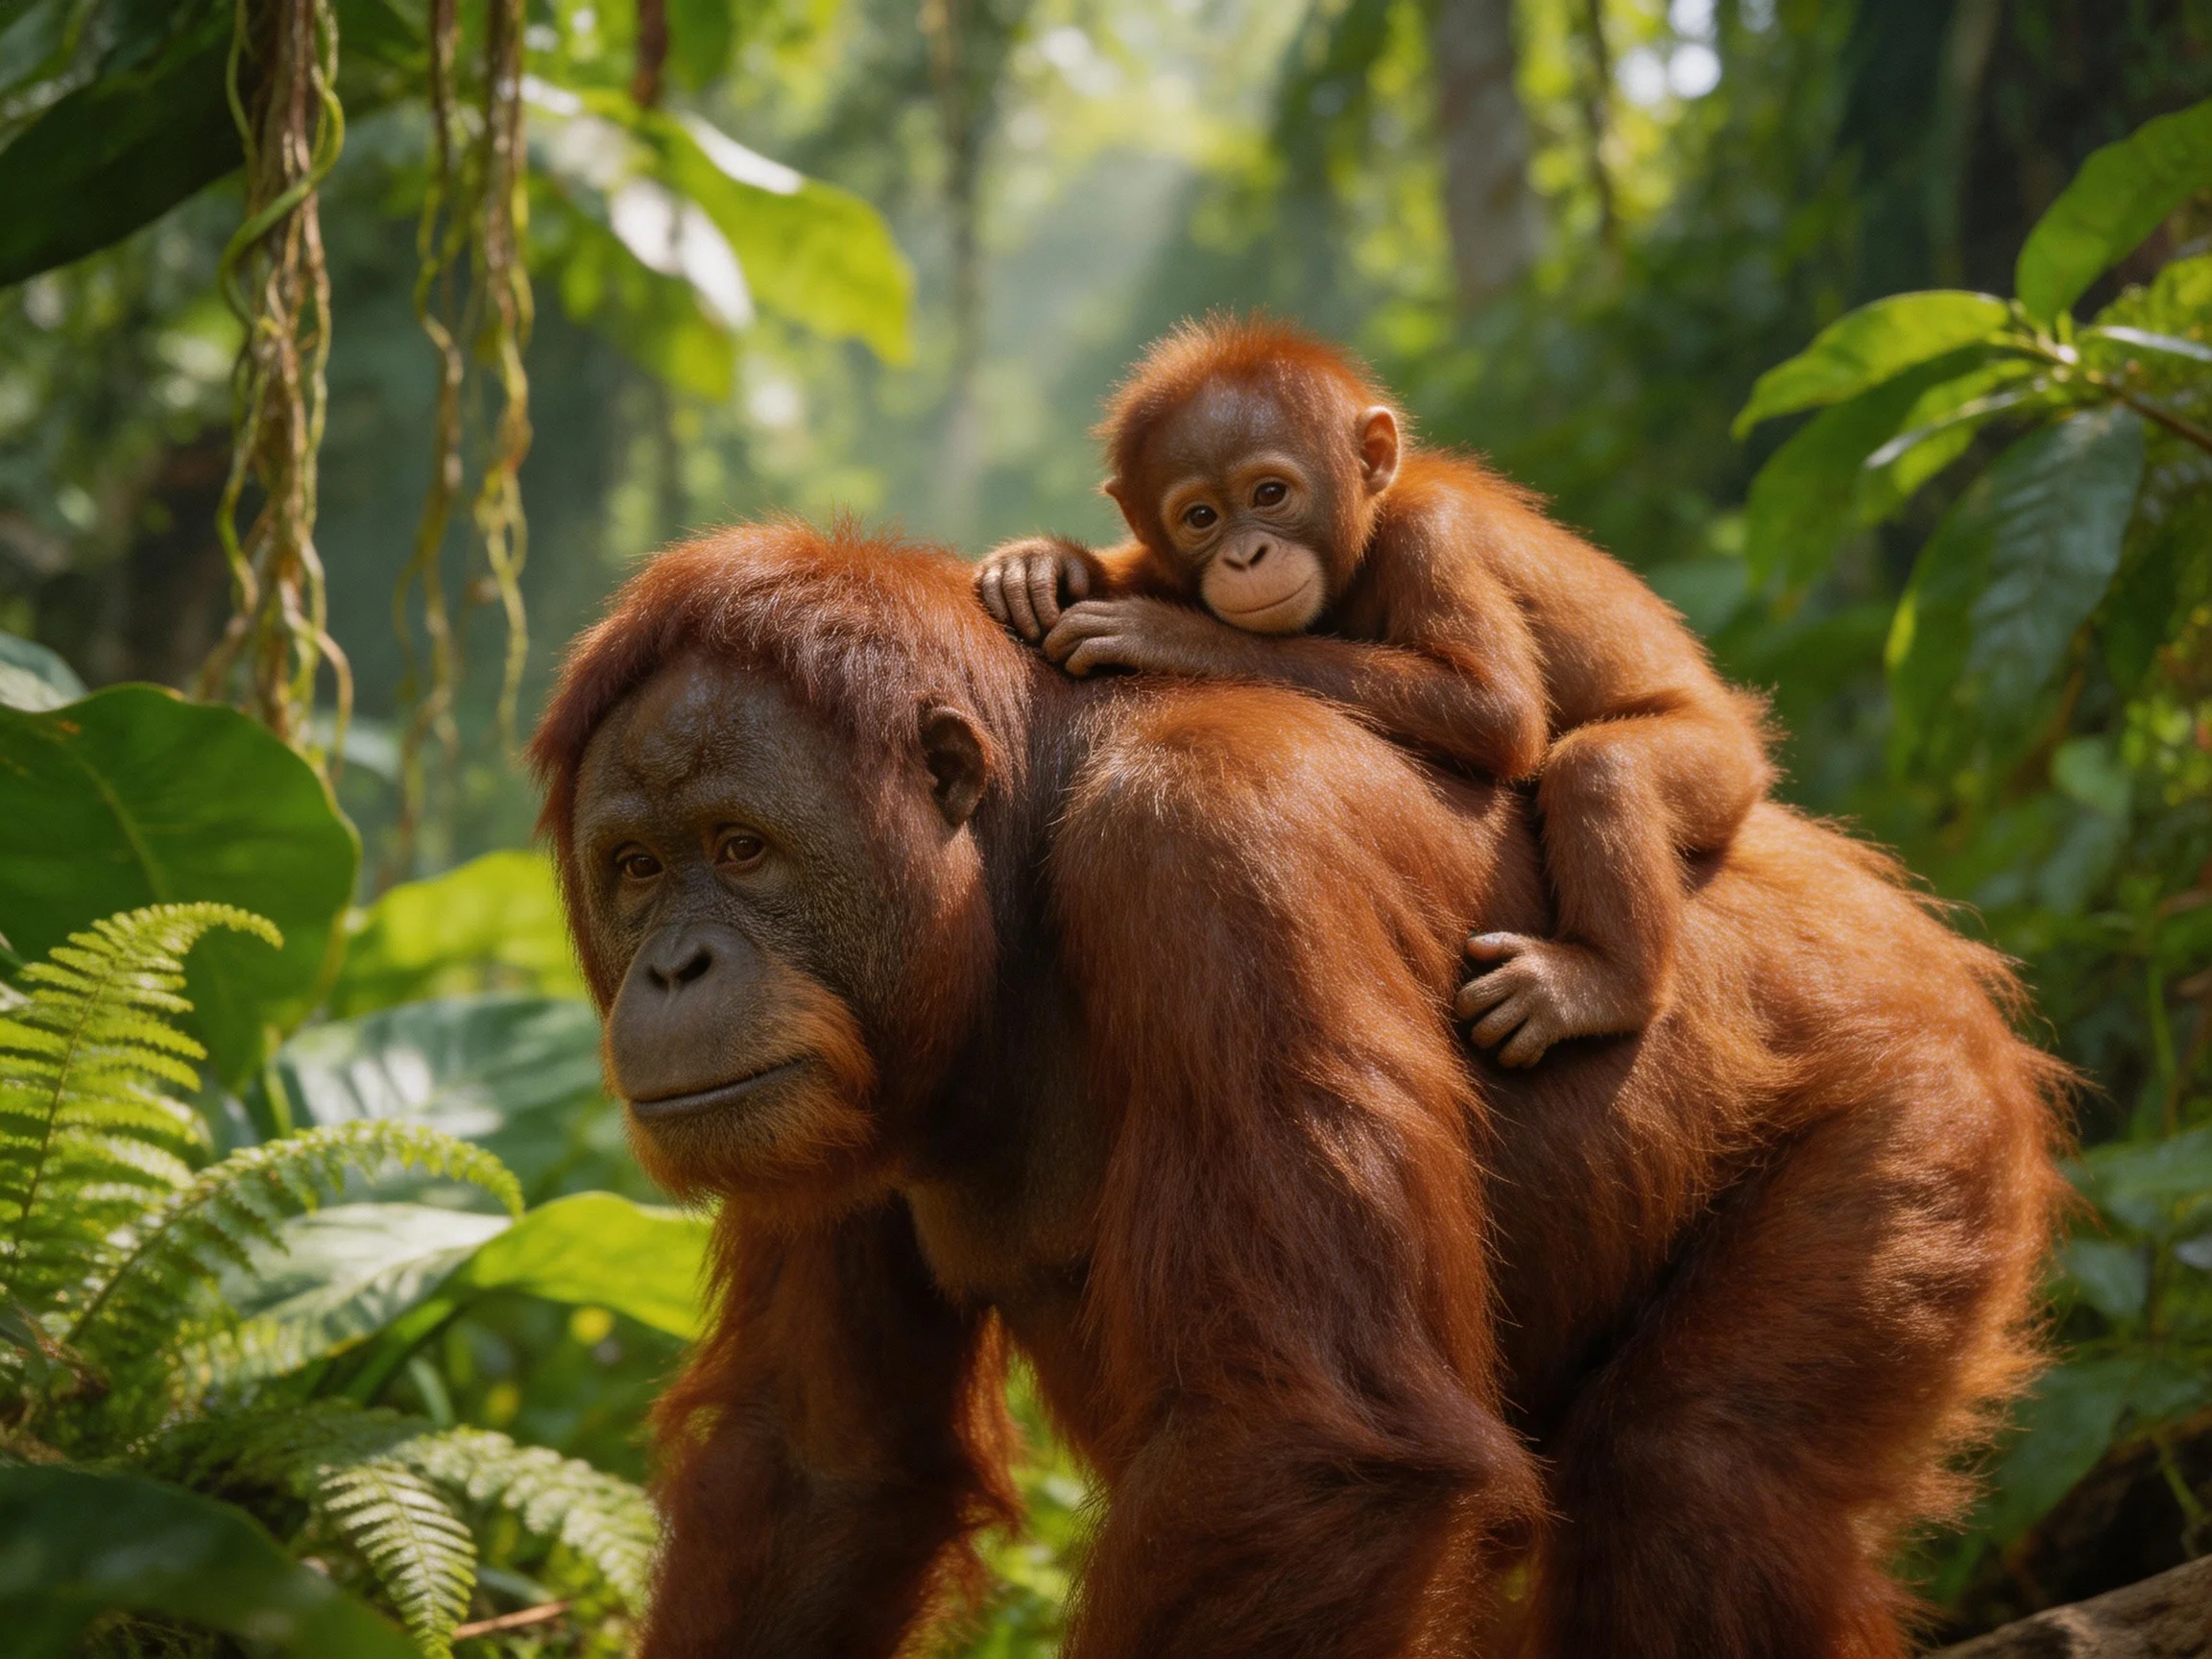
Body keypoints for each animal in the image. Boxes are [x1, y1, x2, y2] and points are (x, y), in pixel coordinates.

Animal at [976, 315, 1775, 1065]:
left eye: (1270, 493)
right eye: (1200, 516)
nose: (1246, 556)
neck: (1364, 539)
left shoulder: (1431, 538)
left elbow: (1499, 711)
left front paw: (1171, 633)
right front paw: (1045, 564)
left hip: (1719, 761)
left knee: (1601, 766)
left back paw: (1600, 986)